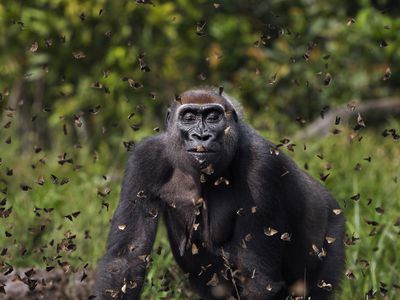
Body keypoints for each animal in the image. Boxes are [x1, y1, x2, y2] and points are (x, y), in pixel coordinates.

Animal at [95, 88, 346, 298]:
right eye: (189, 117)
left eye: (213, 117)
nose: (201, 136)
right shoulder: (145, 159)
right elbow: (125, 261)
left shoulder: (261, 164)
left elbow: (258, 279)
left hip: (333, 228)